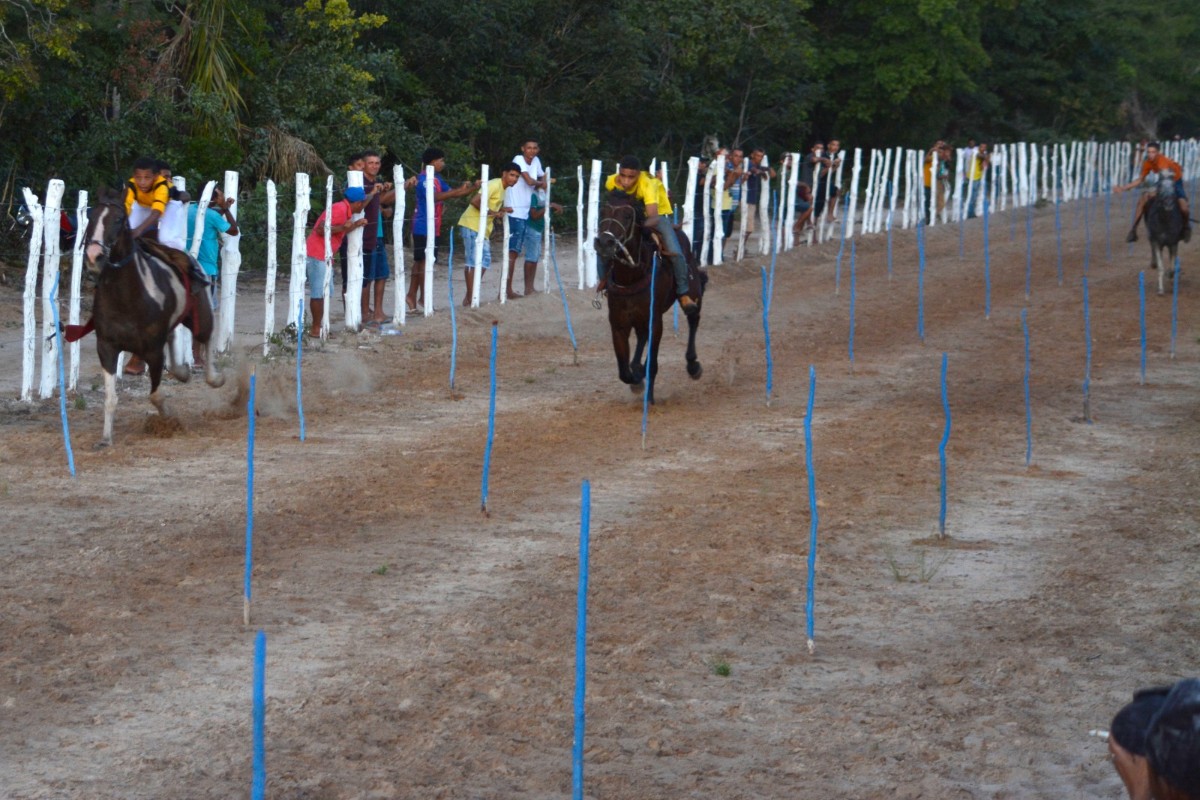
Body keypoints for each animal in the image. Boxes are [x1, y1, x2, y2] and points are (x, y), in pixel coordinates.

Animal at [79, 190, 225, 448]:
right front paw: (106, 438)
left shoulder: (153, 350)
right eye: (91, 216)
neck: (126, 294)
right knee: (174, 338)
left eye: (118, 219)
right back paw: (181, 371)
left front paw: (169, 420)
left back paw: (213, 378)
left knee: (206, 337)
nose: (94, 256)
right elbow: (110, 397)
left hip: (201, 314)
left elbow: (156, 395)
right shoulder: (106, 347)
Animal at [597, 191, 705, 402]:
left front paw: (649, 396)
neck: (631, 276)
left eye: (628, 216)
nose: (605, 243)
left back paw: (693, 365)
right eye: (602, 212)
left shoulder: (655, 321)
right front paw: (637, 377)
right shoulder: (619, 324)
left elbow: (652, 364)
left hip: (693, 290)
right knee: (641, 336)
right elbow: (624, 372)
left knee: (693, 317)